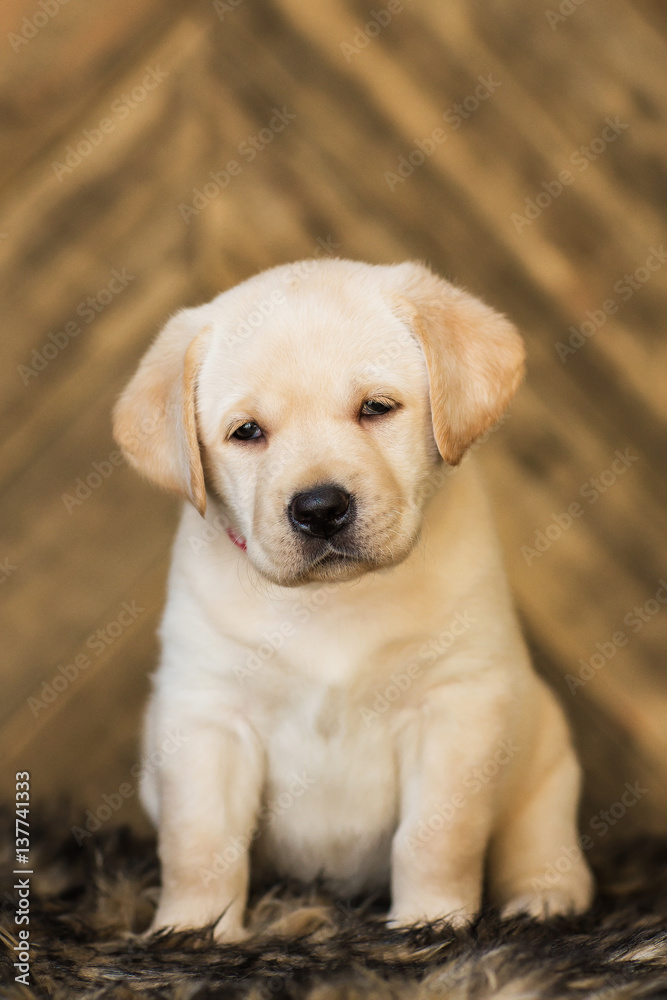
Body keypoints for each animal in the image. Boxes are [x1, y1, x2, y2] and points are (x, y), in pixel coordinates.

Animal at [112, 256, 592, 936]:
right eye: (247, 432)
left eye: (376, 408)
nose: (319, 508)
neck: (332, 603)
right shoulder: (207, 715)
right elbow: (201, 843)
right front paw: (193, 933)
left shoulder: (455, 707)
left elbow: (434, 838)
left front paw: (430, 927)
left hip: (545, 758)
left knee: (539, 836)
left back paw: (544, 897)